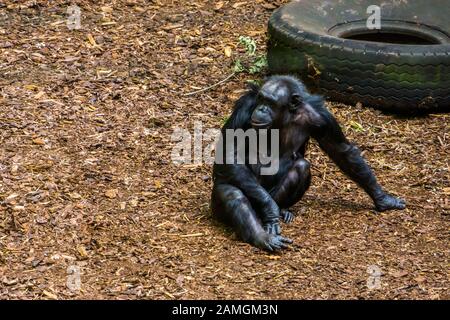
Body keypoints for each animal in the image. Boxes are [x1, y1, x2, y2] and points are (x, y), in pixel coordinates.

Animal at [213, 76, 406, 251]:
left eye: (270, 102)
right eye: (261, 98)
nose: (261, 108)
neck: (284, 117)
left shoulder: (322, 119)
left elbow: (341, 150)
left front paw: (383, 199)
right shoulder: (245, 107)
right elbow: (229, 153)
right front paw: (270, 210)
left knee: (302, 167)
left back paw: (281, 210)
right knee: (233, 193)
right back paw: (262, 235)